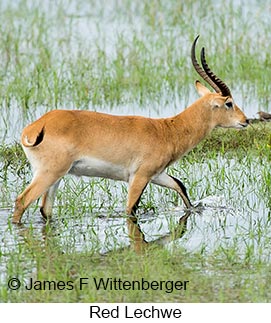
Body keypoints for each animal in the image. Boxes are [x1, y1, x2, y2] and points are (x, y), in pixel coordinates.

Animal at [12, 34, 251, 223]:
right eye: (229, 103)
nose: (246, 120)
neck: (167, 130)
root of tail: (38, 126)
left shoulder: (157, 174)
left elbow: (180, 186)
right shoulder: (139, 176)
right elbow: (131, 209)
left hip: (57, 176)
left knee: (45, 210)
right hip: (49, 173)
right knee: (22, 201)